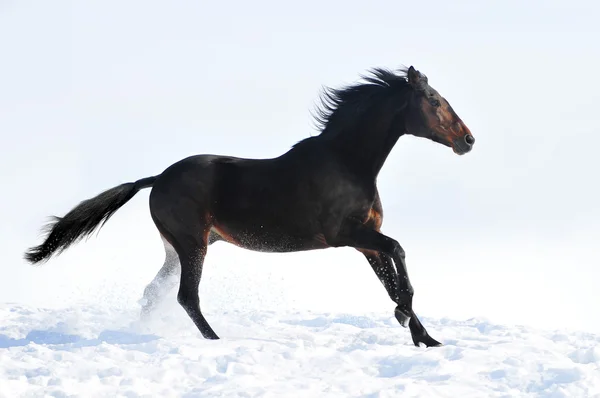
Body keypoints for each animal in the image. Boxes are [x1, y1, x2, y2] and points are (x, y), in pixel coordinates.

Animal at [23, 65, 476, 346]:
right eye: (434, 101)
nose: (468, 140)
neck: (347, 162)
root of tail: (156, 179)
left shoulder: (365, 241)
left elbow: (393, 283)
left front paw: (426, 338)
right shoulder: (346, 235)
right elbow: (400, 256)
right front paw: (407, 321)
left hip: (178, 248)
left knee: (154, 292)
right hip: (193, 245)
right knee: (187, 297)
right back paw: (215, 340)